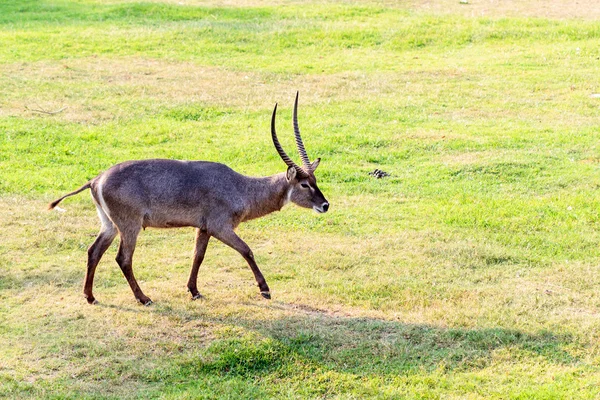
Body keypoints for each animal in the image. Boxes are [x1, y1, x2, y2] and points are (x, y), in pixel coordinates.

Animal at [47, 93, 330, 306]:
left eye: (315, 180)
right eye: (304, 184)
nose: (325, 205)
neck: (241, 187)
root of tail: (96, 179)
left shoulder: (203, 228)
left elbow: (197, 256)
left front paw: (194, 291)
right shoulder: (220, 226)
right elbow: (246, 250)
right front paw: (265, 289)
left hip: (109, 225)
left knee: (93, 251)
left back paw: (90, 297)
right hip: (129, 226)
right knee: (123, 259)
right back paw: (144, 298)